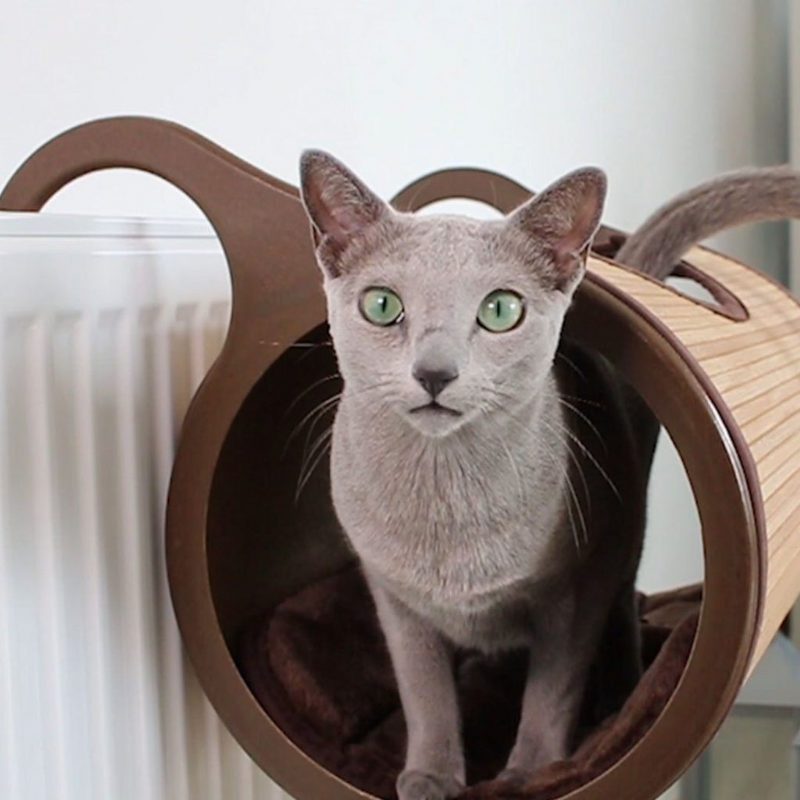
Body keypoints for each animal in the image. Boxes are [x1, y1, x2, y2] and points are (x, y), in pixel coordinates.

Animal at [296, 152, 648, 800]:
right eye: (381, 305)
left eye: (500, 310)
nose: (435, 373)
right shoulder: (393, 597)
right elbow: (423, 692)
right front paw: (430, 776)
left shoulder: (572, 593)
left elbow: (551, 692)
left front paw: (529, 774)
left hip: (621, 540)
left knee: (622, 607)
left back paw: (620, 696)